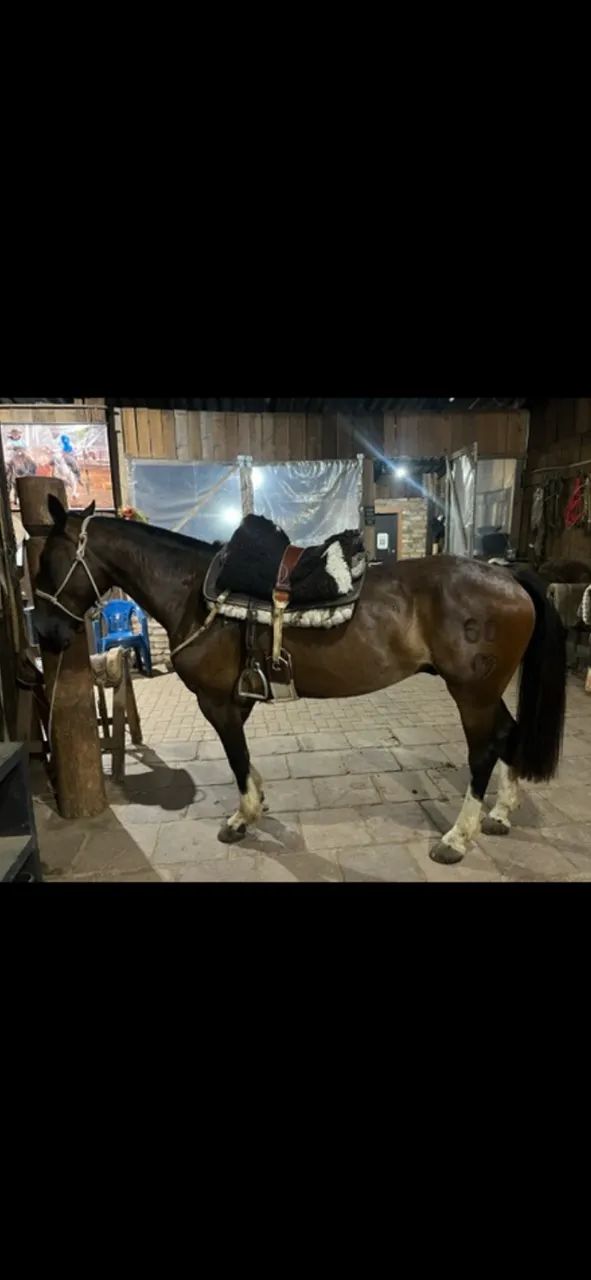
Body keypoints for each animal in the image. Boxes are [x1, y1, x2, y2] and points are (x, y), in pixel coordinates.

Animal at [33, 496, 567, 865]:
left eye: (47, 562)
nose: (46, 634)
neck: (193, 594)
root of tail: (509, 577)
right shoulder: (239, 698)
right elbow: (244, 758)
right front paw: (257, 801)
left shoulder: (216, 702)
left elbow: (236, 758)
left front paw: (243, 817)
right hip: (485, 691)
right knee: (509, 733)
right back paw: (501, 813)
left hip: (472, 693)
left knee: (484, 749)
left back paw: (458, 837)